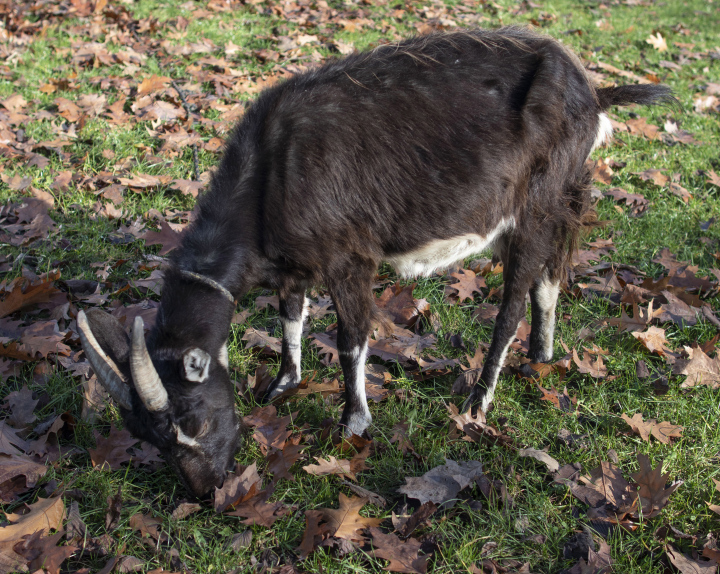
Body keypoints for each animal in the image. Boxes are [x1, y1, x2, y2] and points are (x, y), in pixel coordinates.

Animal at [79, 24, 676, 498]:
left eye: (194, 421)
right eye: (144, 437)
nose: (206, 491)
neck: (269, 173)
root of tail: (593, 91)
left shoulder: (349, 258)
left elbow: (351, 340)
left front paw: (354, 422)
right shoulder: (294, 263)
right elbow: (290, 316)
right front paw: (283, 384)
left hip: (536, 203)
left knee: (512, 303)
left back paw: (479, 401)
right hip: (557, 202)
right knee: (549, 278)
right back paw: (541, 358)